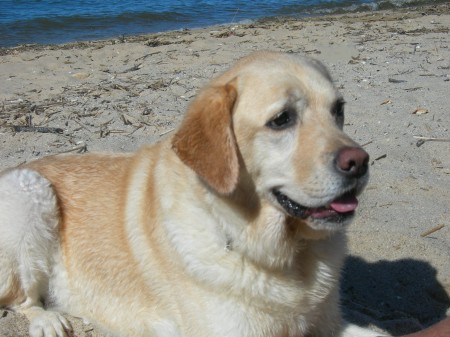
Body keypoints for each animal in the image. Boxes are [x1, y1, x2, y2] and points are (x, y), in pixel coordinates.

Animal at [0, 50, 380, 336]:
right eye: (282, 119)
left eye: (338, 110)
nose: (359, 162)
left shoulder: (328, 324)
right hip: (29, 192)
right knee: (19, 299)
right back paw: (47, 320)